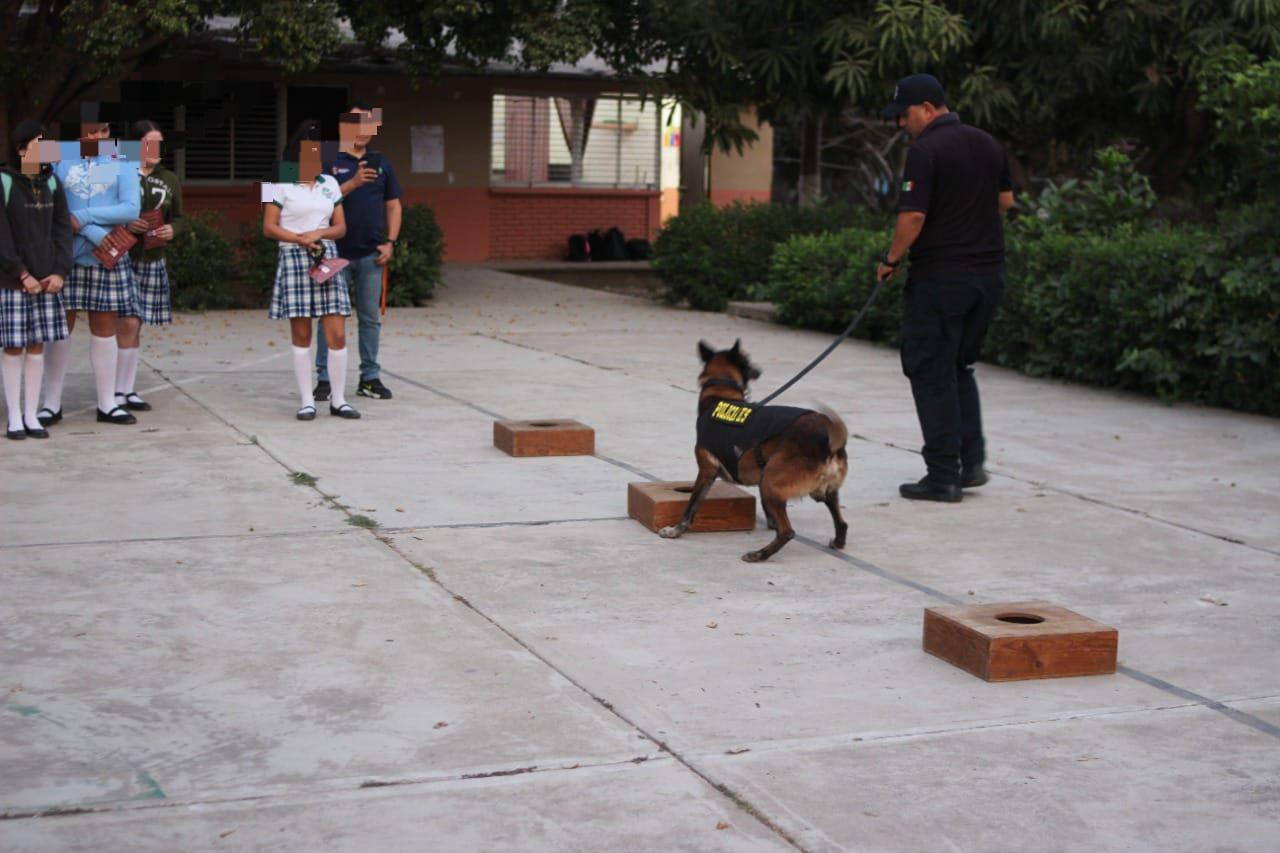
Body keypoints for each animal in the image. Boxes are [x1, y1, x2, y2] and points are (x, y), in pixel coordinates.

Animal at [660, 335, 849, 560]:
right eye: (749, 360)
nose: (759, 370)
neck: (721, 393)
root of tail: (826, 437)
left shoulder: (706, 471)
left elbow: (691, 506)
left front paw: (676, 530)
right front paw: (770, 523)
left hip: (771, 483)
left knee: (788, 532)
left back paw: (760, 554)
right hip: (822, 491)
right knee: (842, 522)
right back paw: (837, 542)